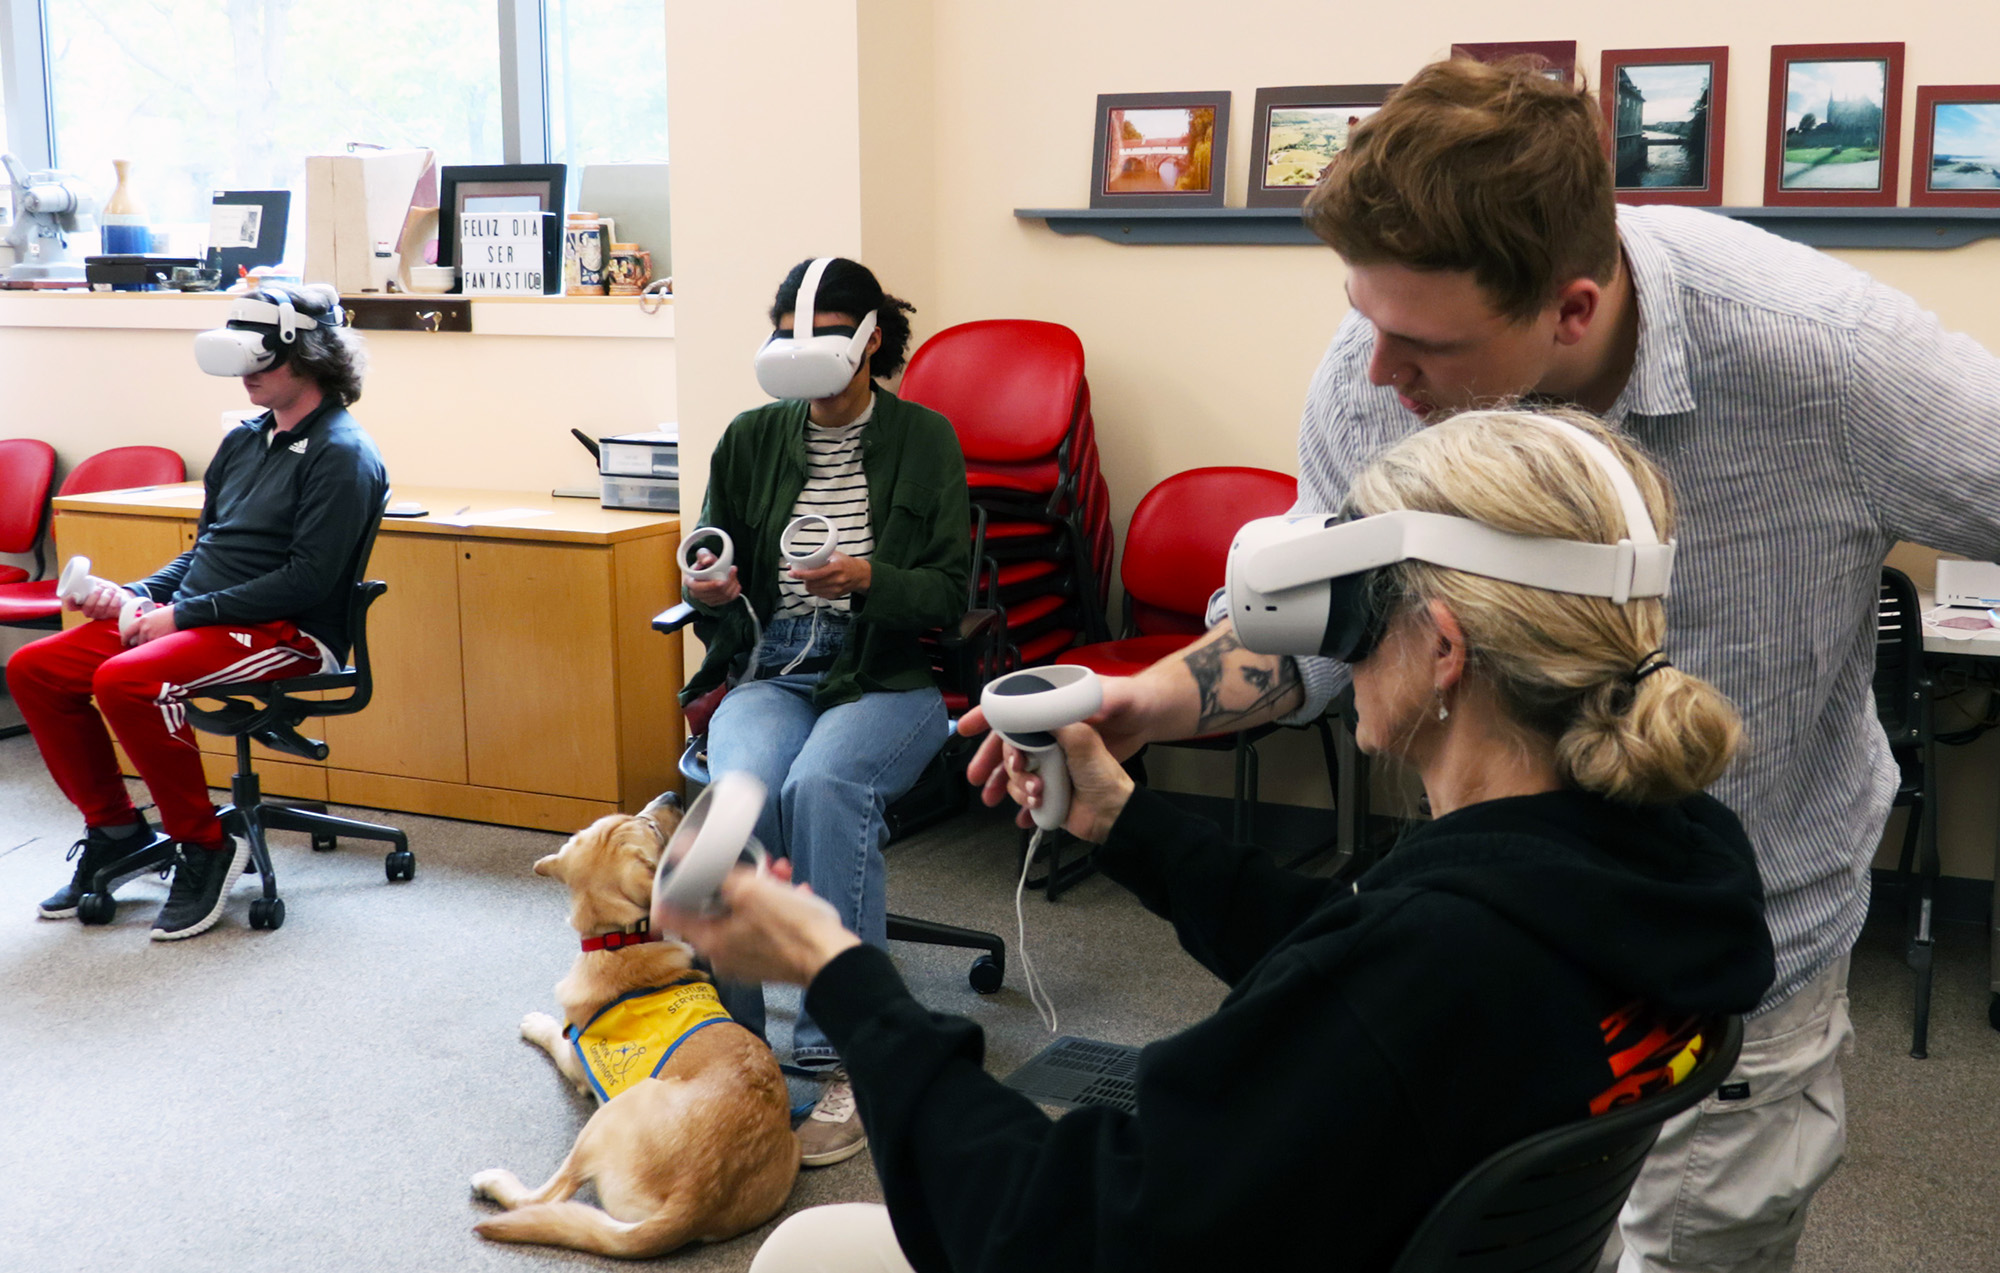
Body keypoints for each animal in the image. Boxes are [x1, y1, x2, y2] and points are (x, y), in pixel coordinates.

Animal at [472, 800, 800, 1256]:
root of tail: (695, 1199)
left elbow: (555, 1037)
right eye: (646, 823)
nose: (672, 797)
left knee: (545, 1196)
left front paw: (536, 1023)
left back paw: (492, 1182)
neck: (621, 940)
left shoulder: (576, 1060)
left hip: (605, 1117)